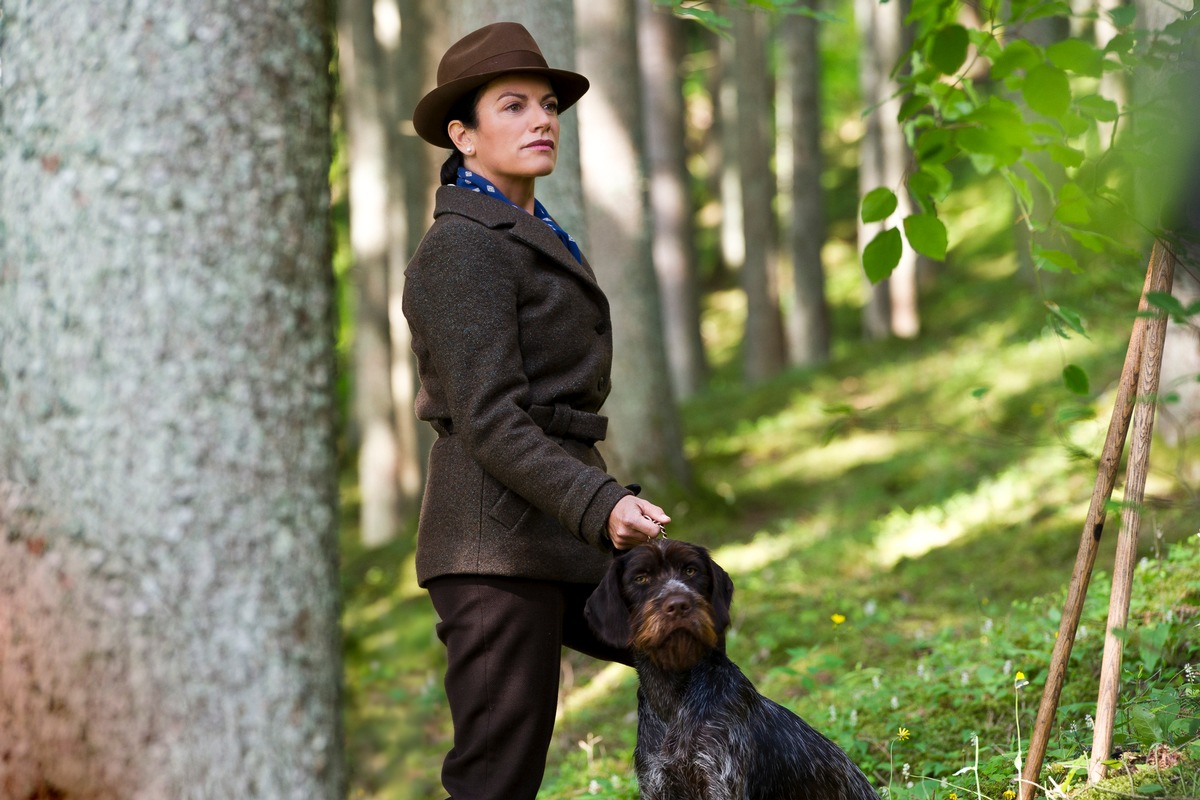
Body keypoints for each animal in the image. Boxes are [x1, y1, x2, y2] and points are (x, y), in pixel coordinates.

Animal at [585, 537, 878, 800]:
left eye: (691, 570)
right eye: (641, 578)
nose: (679, 604)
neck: (674, 697)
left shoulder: (720, 781)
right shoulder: (656, 785)